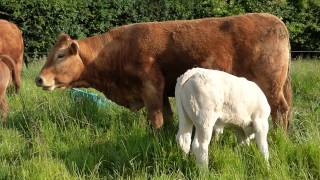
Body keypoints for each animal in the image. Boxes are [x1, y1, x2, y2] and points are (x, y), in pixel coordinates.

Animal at [35, 12, 292, 131]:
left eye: (60, 55)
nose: (39, 79)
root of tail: (275, 21)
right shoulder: (162, 93)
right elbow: (167, 118)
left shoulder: (151, 87)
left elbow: (156, 120)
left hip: (270, 84)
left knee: (280, 109)